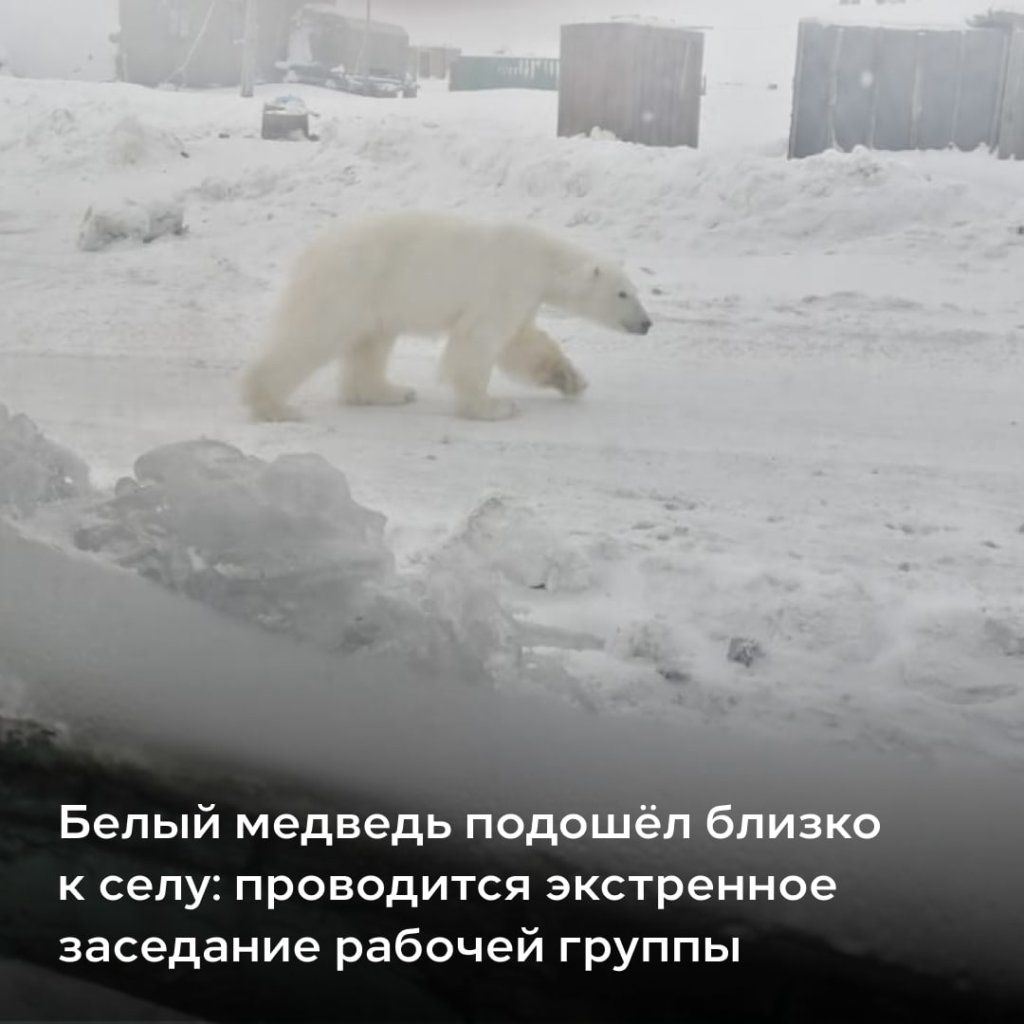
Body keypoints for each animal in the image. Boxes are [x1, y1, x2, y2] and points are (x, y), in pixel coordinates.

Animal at [241, 210, 652, 422]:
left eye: (637, 291)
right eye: (622, 294)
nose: (647, 324)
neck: (542, 260)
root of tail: (311, 253)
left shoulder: (524, 296)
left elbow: (522, 343)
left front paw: (571, 380)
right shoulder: (506, 282)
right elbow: (479, 341)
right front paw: (494, 406)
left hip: (376, 298)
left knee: (372, 343)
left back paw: (391, 391)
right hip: (350, 284)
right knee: (314, 335)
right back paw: (274, 405)